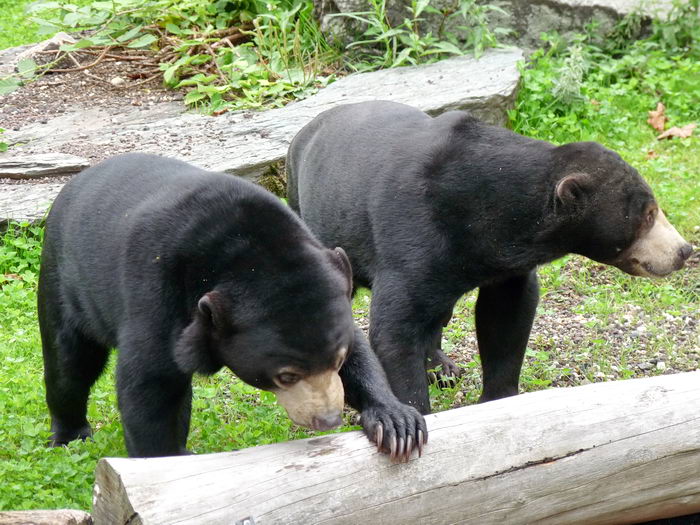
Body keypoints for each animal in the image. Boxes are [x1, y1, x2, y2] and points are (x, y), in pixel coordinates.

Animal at [38, 151, 426, 458]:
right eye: (286, 375)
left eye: (337, 360)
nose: (328, 419)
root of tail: (75, 183)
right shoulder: (154, 291)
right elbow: (149, 383)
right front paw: (160, 462)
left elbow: (362, 351)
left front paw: (398, 425)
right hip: (65, 282)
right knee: (69, 363)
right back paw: (71, 434)